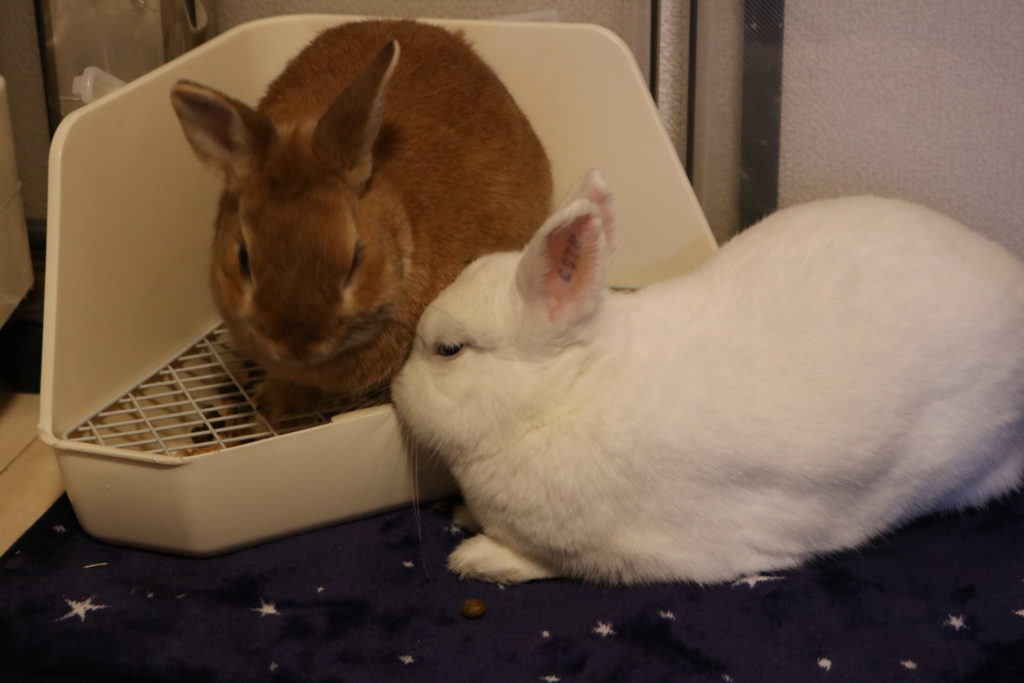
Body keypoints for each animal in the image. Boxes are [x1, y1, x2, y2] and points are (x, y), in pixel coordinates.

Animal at [391, 169, 1024, 585]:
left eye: (448, 350)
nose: (396, 390)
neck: (569, 394)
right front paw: (465, 517)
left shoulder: (633, 551)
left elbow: (547, 562)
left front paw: (476, 558)